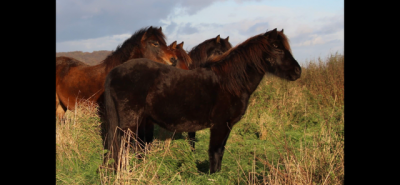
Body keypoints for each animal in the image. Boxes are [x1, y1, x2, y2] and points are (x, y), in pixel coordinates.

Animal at [102, 28, 300, 173]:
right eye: (276, 47)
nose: (298, 72)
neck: (230, 82)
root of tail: (115, 72)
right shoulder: (220, 125)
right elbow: (215, 151)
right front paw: (212, 175)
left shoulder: (226, 126)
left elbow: (220, 151)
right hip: (129, 124)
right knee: (123, 146)